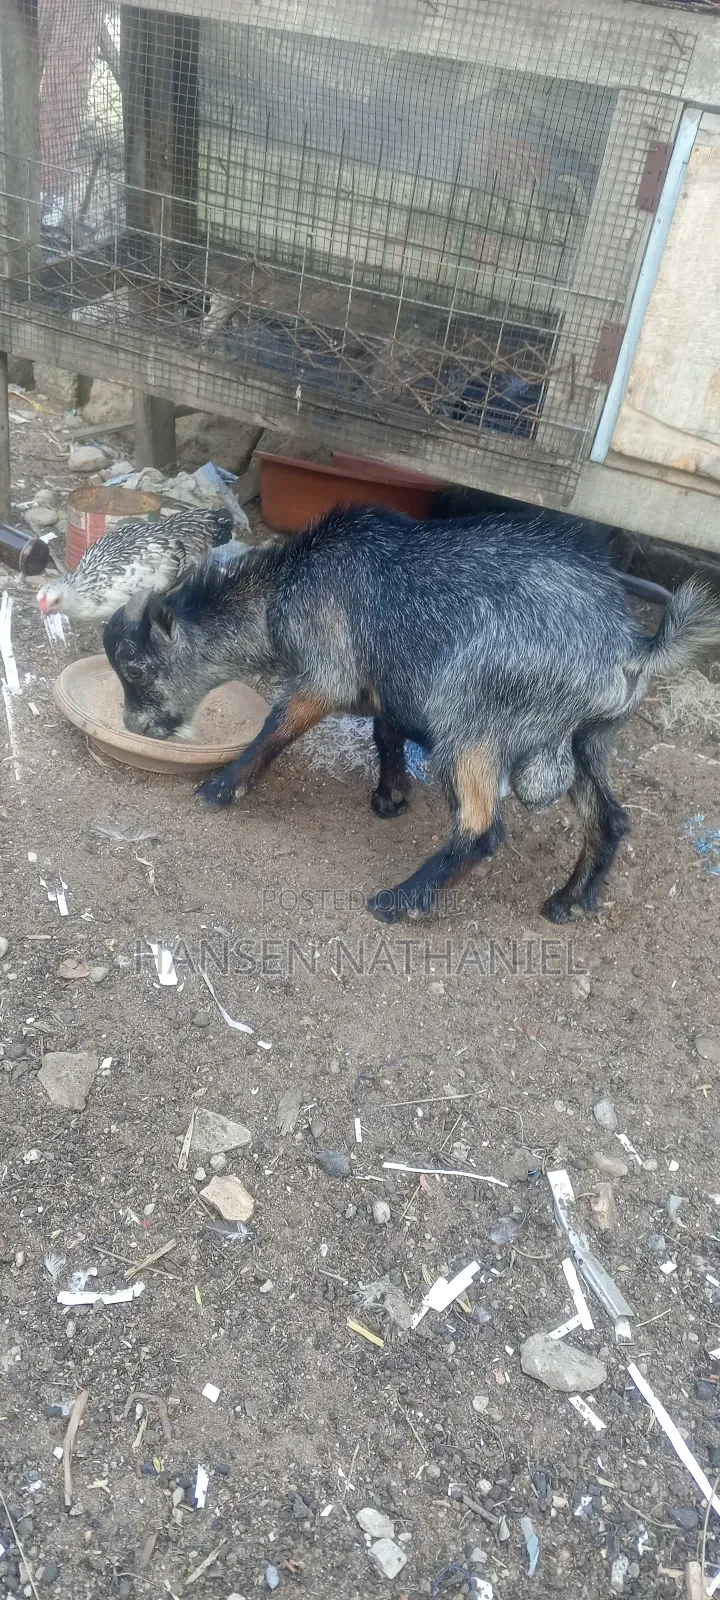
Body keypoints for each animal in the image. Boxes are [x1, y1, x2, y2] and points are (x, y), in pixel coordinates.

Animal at [103, 505, 720, 922]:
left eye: (134, 668)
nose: (134, 726)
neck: (284, 589)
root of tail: (632, 648)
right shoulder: (385, 681)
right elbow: (386, 732)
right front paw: (390, 795)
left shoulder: (327, 673)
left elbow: (275, 728)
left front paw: (220, 787)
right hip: (590, 737)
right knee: (610, 817)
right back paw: (572, 900)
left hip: (472, 725)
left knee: (483, 828)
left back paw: (401, 900)